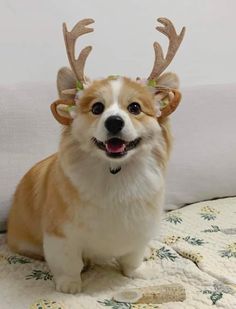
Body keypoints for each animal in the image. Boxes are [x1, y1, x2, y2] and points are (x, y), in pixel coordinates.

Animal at [7, 17, 185, 294]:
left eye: (135, 108)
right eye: (97, 108)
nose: (114, 122)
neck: (114, 174)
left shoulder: (138, 230)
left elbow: (132, 258)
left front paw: (136, 271)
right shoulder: (61, 235)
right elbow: (67, 262)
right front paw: (70, 285)